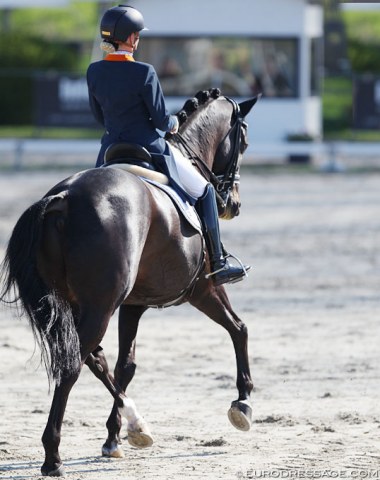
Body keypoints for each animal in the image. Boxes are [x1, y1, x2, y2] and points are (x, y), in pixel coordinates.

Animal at [0, 88, 256, 474]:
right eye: (243, 142)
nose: (234, 205)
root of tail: (62, 199)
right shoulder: (205, 289)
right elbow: (239, 329)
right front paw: (242, 403)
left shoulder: (133, 304)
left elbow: (125, 365)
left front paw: (116, 435)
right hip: (101, 306)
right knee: (73, 365)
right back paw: (52, 457)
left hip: (76, 304)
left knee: (92, 359)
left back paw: (131, 425)